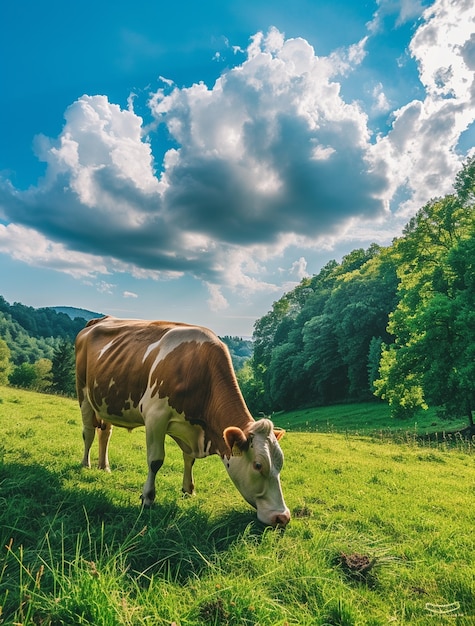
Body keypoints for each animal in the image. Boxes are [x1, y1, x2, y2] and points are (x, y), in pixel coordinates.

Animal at [75, 314, 290, 524]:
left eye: (281, 463)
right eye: (258, 465)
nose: (283, 517)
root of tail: (100, 320)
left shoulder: (190, 429)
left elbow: (189, 459)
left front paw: (189, 490)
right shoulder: (155, 417)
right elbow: (155, 460)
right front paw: (148, 498)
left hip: (104, 402)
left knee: (105, 433)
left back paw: (104, 467)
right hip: (83, 393)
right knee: (88, 432)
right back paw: (86, 464)